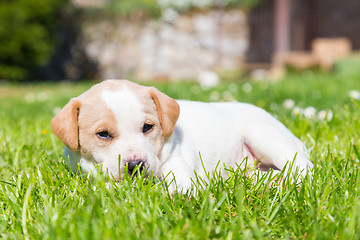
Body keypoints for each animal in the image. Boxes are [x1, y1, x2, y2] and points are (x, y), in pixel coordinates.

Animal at [51, 79, 312, 192]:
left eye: (148, 127)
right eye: (103, 134)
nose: (136, 165)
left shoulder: (175, 158)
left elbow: (176, 175)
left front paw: (181, 193)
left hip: (265, 135)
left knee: (303, 166)